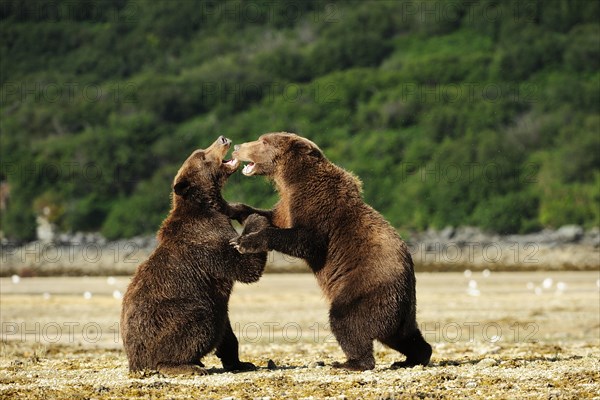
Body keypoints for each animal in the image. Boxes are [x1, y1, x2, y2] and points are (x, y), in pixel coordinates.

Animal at [120, 135, 268, 376]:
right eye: (203, 156)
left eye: (202, 150)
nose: (222, 139)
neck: (208, 204)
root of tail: (134, 361)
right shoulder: (208, 242)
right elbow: (244, 267)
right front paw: (254, 220)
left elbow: (228, 333)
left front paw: (240, 362)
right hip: (174, 313)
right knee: (200, 321)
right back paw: (187, 365)